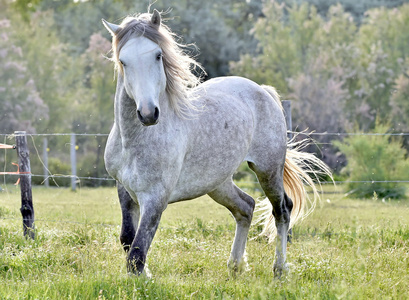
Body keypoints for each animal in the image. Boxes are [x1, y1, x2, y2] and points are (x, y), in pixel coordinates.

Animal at [101, 10, 328, 278]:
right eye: (123, 61)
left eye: (158, 55)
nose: (148, 113)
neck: (134, 141)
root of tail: (263, 91)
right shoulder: (125, 191)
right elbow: (128, 240)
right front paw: (145, 276)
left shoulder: (156, 197)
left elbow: (138, 252)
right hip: (218, 182)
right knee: (246, 207)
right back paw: (235, 266)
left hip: (268, 170)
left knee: (282, 210)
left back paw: (279, 270)